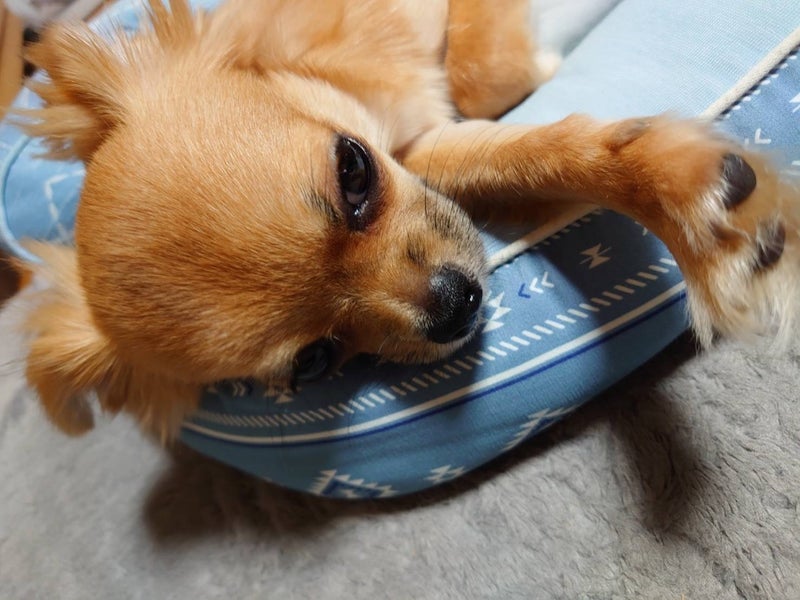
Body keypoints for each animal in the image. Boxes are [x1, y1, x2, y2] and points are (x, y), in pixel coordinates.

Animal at [14, 0, 798, 441]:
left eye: (353, 173)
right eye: (314, 360)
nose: (453, 305)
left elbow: (486, 77)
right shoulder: (422, 146)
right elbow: (523, 152)